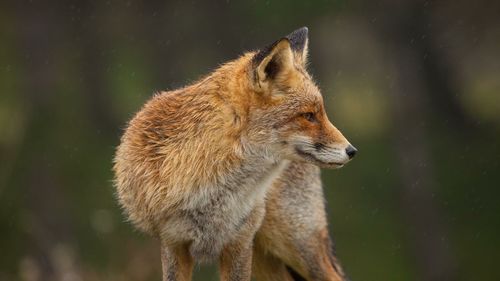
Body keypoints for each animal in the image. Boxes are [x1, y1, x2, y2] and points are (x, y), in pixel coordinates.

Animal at [113, 26, 356, 280]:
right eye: (308, 115)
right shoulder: (173, 243)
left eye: (321, 113)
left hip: (295, 245)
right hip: (266, 257)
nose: (352, 150)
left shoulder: (238, 242)